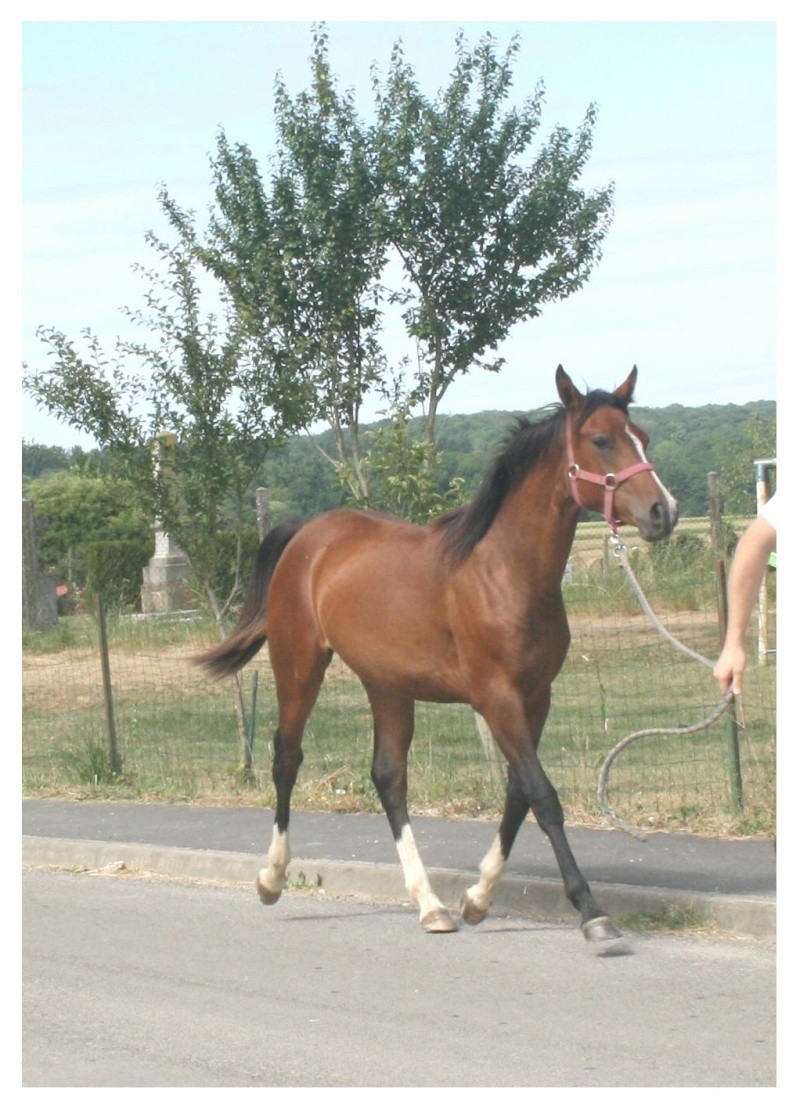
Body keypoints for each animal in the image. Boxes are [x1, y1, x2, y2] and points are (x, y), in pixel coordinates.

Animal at [196, 367, 677, 947]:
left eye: (643, 437)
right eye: (601, 440)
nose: (664, 512)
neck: (503, 570)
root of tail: (306, 535)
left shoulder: (536, 698)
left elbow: (517, 796)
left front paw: (477, 899)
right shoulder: (496, 698)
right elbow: (543, 797)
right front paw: (591, 911)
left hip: (386, 685)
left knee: (388, 777)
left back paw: (430, 905)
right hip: (299, 667)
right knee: (287, 758)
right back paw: (272, 877)